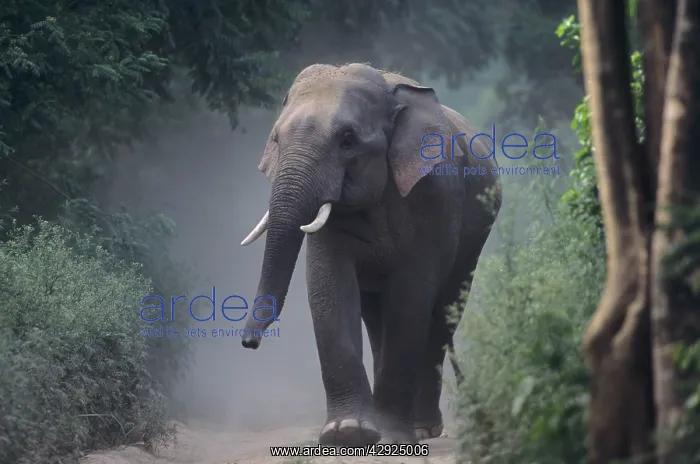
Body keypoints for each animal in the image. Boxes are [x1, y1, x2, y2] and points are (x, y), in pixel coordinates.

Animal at [239, 63, 502, 446]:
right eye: (275, 140)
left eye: (347, 140)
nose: (249, 342)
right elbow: (330, 286)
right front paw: (347, 433)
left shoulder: (434, 197)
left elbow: (410, 297)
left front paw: (390, 438)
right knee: (377, 319)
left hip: (475, 236)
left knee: (442, 312)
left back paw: (423, 429)